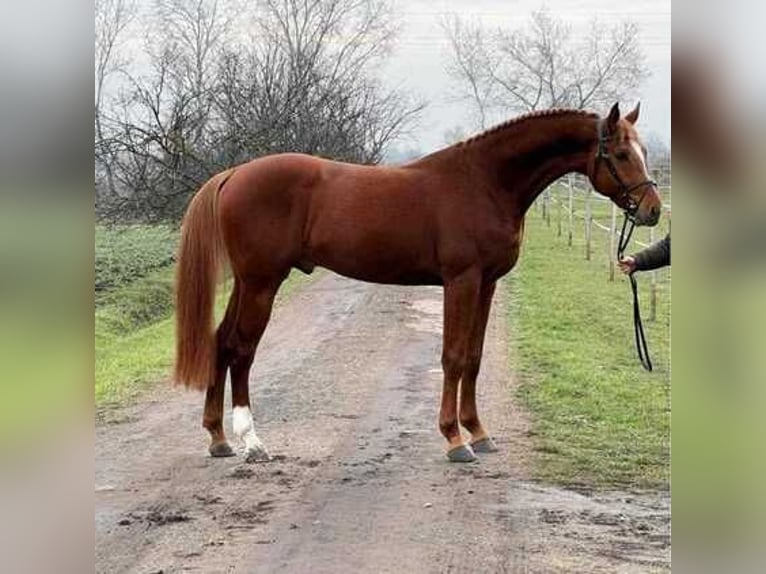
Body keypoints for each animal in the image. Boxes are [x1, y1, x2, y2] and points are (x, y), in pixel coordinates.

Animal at [177, 102, 664, 464]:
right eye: (622, 154)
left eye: (642, 150)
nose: (653, 210)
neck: (485, 182)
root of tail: (234, 174)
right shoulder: (461, 281)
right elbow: (452, 357)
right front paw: (455, 440)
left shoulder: (487, 284)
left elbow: (474, 358)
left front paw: (478, 432)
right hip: (262, 282)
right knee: (242, 349)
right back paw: (251, 441)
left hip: (247, 283)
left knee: (221, 341)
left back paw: (218, 438)